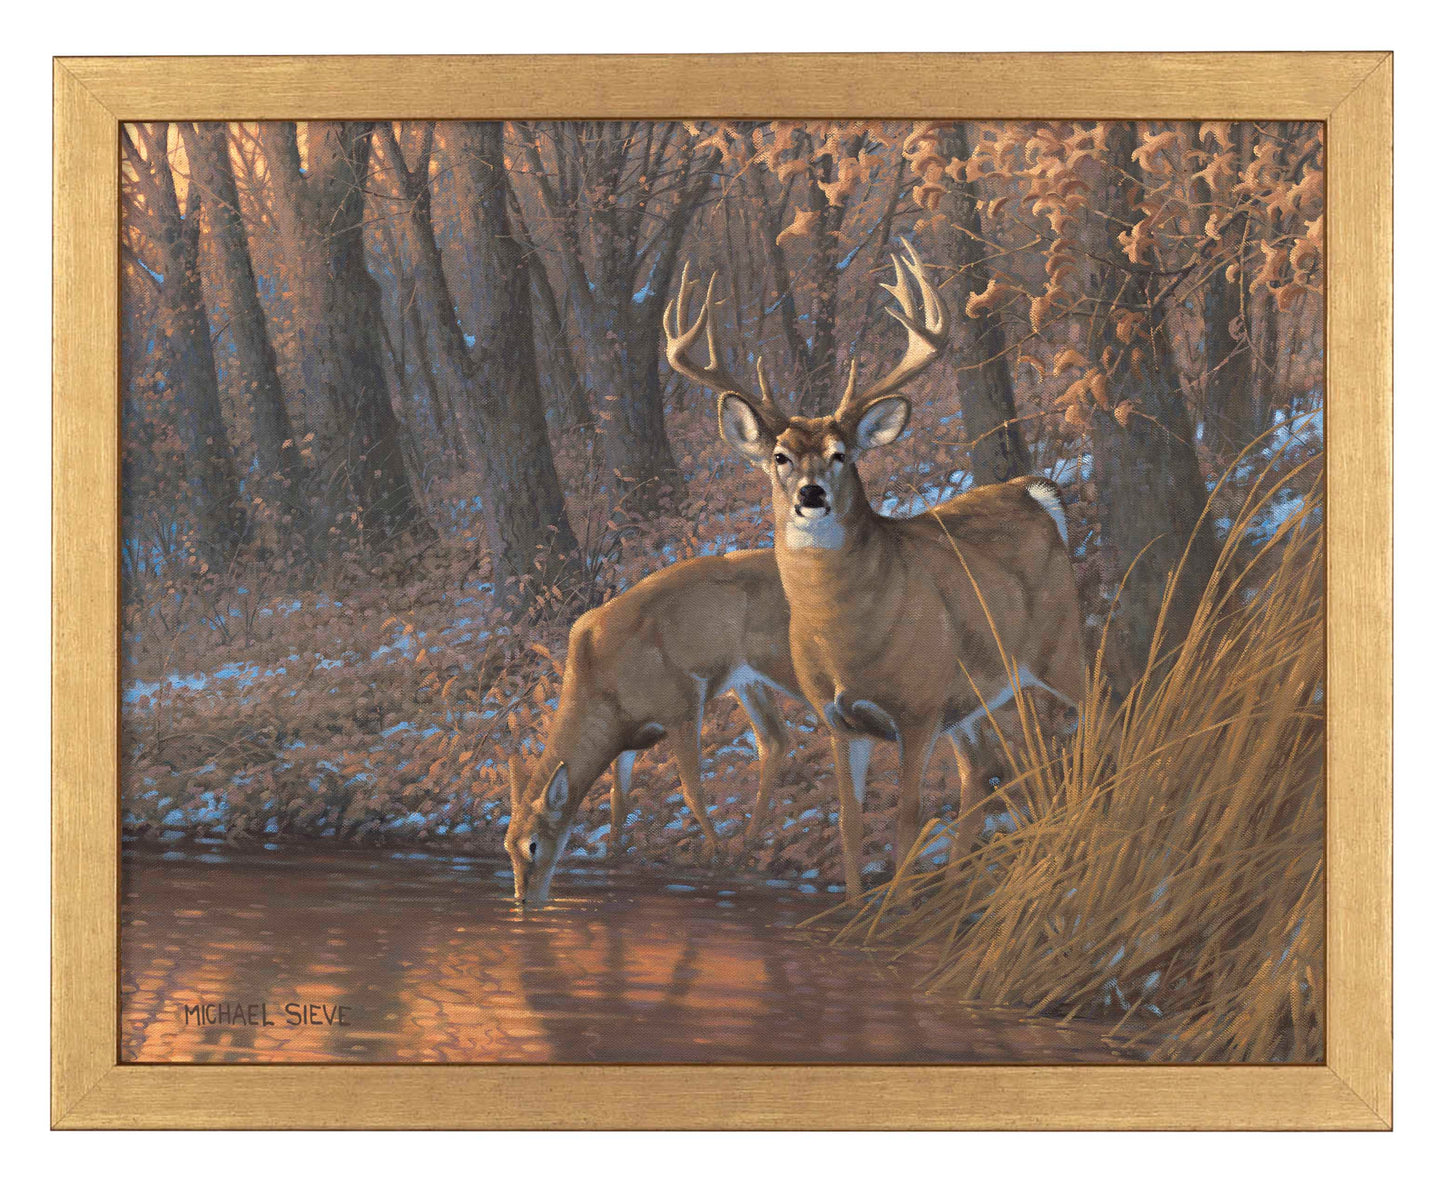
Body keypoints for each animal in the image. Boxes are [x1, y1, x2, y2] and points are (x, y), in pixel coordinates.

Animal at [505, 549, 877, 906]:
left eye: (533, 845)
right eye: (507, 846)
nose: (523, 898)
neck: (600, 686)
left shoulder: (682, 704)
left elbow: (691, 789)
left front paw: (716, 852)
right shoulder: (626, 743)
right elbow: (618, 800)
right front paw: (613, 856)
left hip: (787, 663)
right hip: (747, 680)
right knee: (775, 739)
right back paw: (748, 843)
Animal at [664, 245, 1088, 900]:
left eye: (842, 453)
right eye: (779, 456)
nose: (811, 494)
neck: (848, 638)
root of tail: (1032, 491)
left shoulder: (916, 709)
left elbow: (907, 822)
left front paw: (894, 909)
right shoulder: (841, 720)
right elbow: (850, 825)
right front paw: (860, 910)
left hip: (1056, 645)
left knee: (1102, 711)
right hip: (971, 692)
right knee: (985, 767)